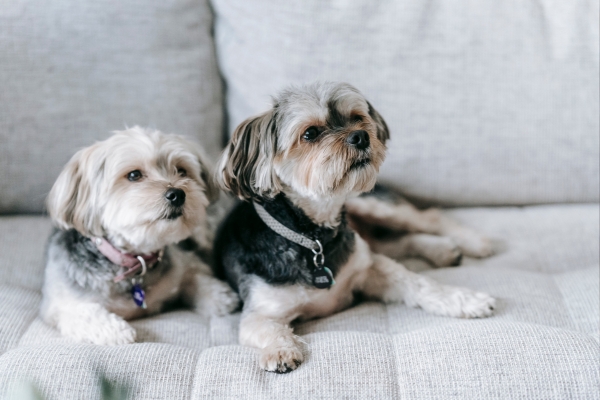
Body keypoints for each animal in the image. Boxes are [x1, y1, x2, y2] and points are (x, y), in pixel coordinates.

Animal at [41, 126, 239, 346]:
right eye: (134, 175)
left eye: (181, 170)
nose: (177, 194)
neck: (134, 260)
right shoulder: (61, 304)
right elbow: (84, 314)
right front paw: (115, 330)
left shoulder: (184, 263)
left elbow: (195, 275)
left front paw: (219, 296)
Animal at [216, 81, 496, 372]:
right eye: (310, 133)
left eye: (357, 118)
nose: (361, 136)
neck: (313, 235)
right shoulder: (258, 312)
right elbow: (268, 329)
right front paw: (281, 351)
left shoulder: (369, 269)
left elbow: (420, 284)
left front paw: (466, 300)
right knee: (393, 242)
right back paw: (442, 251)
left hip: (369, 203)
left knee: (426, 219)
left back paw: (472, 242)